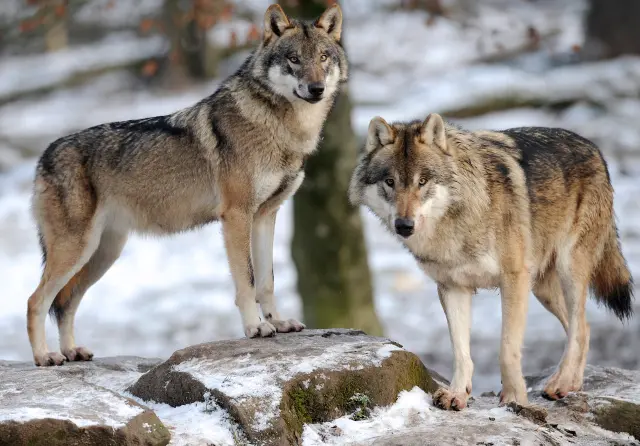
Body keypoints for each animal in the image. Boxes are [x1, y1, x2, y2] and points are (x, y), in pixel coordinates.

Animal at [26, 3, 347, 366]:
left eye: (323, 57)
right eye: (293, 58)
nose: (316, 89)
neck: (282, 130)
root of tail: (44, 155)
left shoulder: (266, 215)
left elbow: (267, 280)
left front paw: (278, 323)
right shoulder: (236, 217)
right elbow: (247, 280)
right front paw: (255, 328)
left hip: (101, 254)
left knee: (66, 302)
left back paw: (71, 351)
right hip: (77, 250)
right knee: (36, 301)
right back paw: (45, 357)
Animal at [349, 113, 634, 409]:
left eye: (423, 181)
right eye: (390, 182)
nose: (404, 225)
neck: (457, 223)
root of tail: (594, 148)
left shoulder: (514, 280)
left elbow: (507, 349)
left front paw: (515, 398)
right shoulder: (453, 287)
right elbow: (460, 350)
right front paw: (457, 394)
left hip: (569, 270)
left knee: (579, 328)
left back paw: (562, 383)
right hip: (542, 288)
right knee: (584, 328)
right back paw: (571, 384)